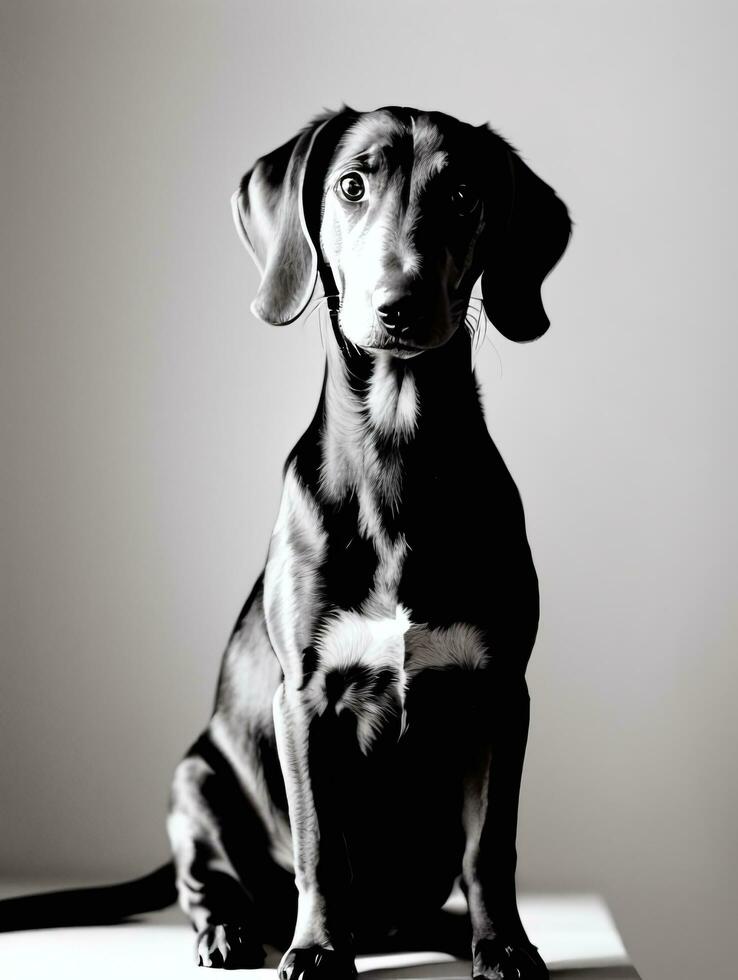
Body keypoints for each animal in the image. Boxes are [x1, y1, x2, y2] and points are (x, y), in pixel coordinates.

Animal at [0, 107, 568, 980]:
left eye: (463, 193)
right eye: (352, 184)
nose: (399, 303)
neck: (397, 451)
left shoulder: (501, 693)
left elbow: (491, 846)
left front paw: (503, 943)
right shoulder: (304, 699)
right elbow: (320, 848)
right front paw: (318, 950)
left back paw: (448, 932)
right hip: (196, 777)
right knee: (208, 878)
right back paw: (229, 932)